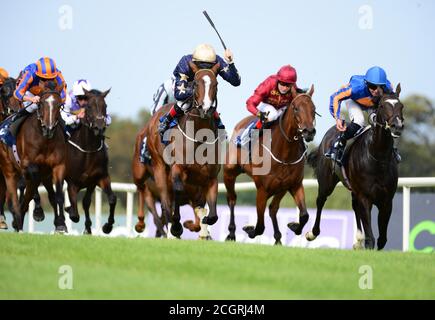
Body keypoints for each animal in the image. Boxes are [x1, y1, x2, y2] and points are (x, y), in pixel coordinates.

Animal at [0, 79, 67, 230]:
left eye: (59, 105)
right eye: (41, 103)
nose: (49, 128)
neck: (44, 139)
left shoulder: (57, 166)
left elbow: (58, 195)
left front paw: (60, 224)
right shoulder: (29, 166)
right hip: (8, 168)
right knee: (13, 197)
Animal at [63, 89, 116, 234]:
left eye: (105, 106)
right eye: (89, 107)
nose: (99, 128)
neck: (88, 150)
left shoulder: (99, 178)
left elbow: (111, 199)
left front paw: (107, 226)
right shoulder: (72, 183)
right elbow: (75, 214)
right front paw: (69, 209)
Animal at [146, 62, 223, 238]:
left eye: (216, 84)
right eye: (195, 84)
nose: (206, 109)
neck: (199, 138)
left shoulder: (211, 178)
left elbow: (212, 213)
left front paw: (204, 222)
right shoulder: (177, 168)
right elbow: (178, 190)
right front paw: (176, 225)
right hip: (159, 167)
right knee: (166, 198)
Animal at [225, 85, 316, 245]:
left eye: (313, 109)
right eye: (296, 108)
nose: (309, 131)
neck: (284, 153)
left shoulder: (295, 184)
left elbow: (304, 215)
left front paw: (294, 226)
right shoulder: (262, 189)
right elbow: (260, 226)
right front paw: (250, 230)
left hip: (281, 188)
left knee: (273, 208)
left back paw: (278, 238)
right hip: (229, 171)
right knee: (232, 199)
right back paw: (231, 233)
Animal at [306, 84, 406, 249]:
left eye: (401, 106)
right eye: (382, 105)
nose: (396, 126)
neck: (378, 157)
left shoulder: (386, 200)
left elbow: (382, 239)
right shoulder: (365, 197)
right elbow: (371, 238)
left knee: (354, 205)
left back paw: (358, 240)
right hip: (326, 182)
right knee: (320, 201)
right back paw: (312, 233)